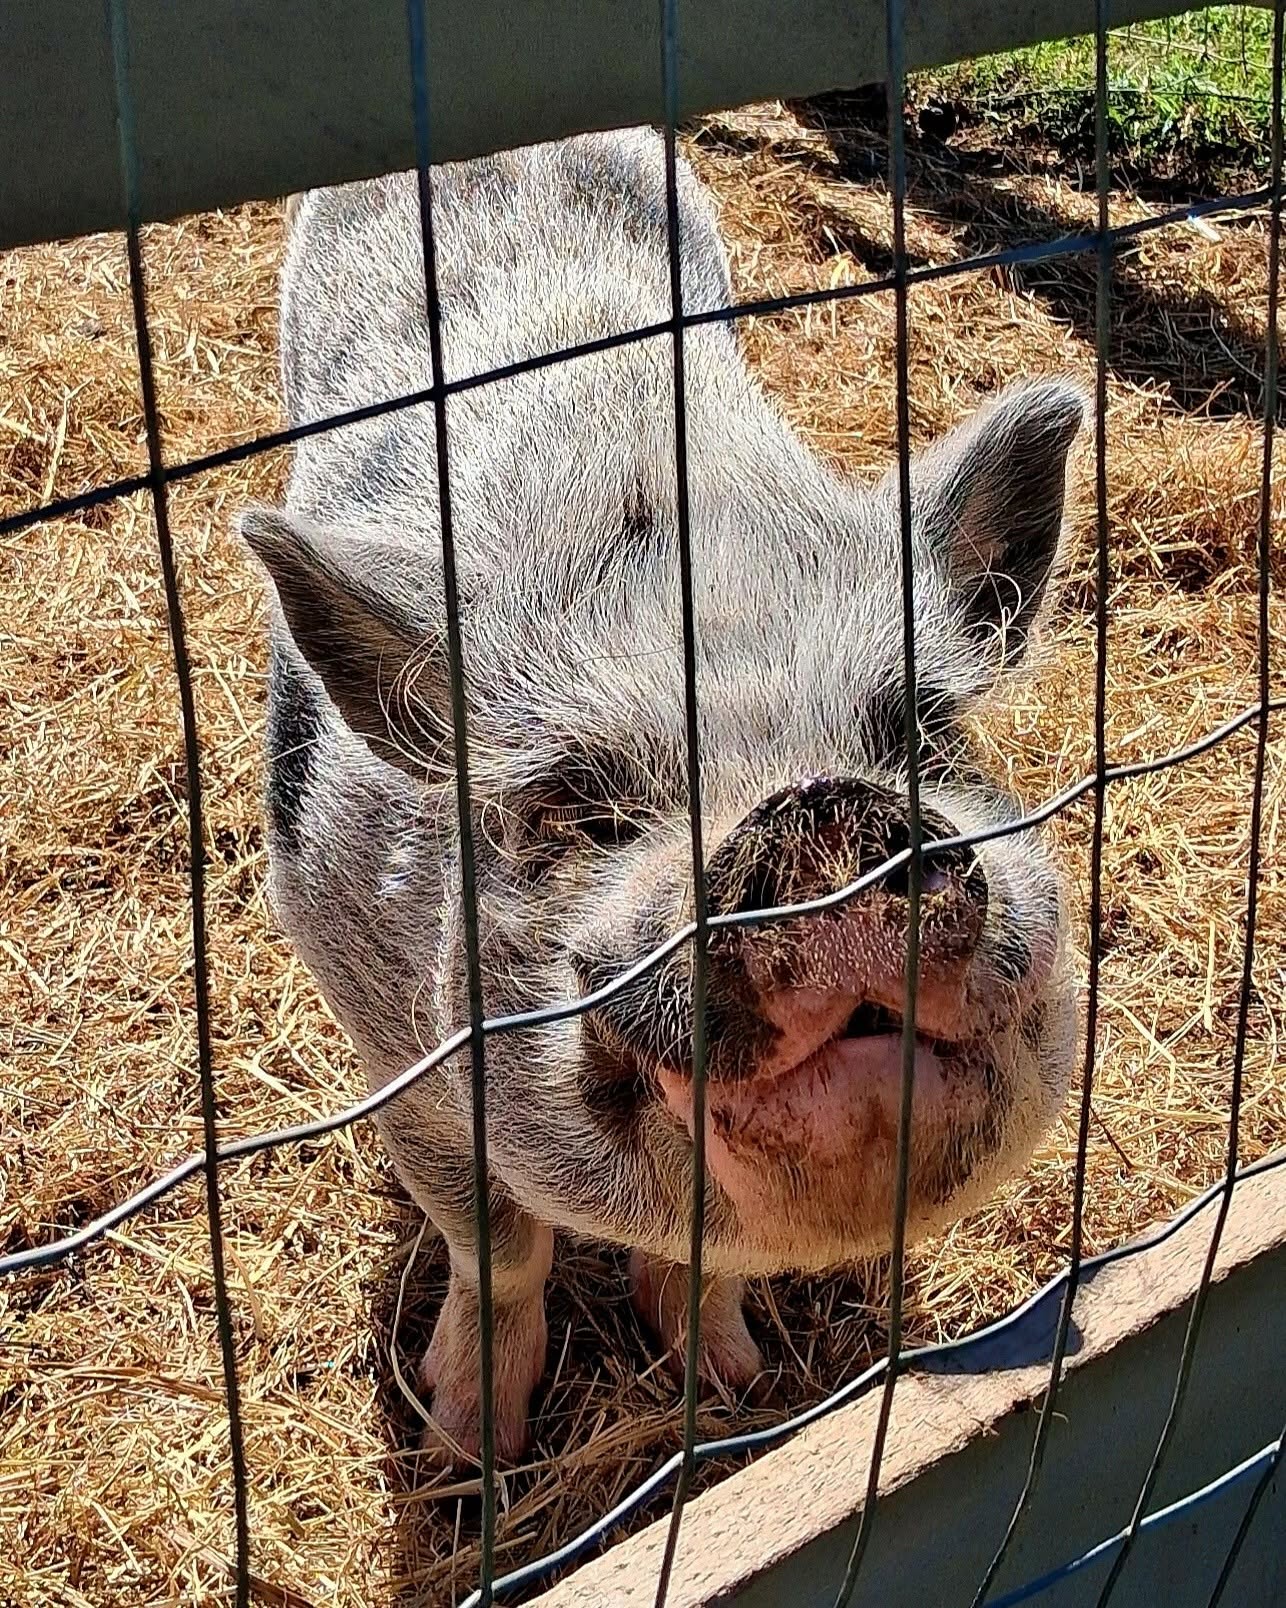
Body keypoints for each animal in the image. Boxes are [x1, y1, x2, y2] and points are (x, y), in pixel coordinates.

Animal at [238, 126, 1082, 1466]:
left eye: (925, 731)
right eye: (577, 810)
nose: (822, 810)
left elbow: (701, 1272)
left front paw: (732, 1386)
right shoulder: (384, 1028)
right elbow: (498, 1248)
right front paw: (470, 1445)